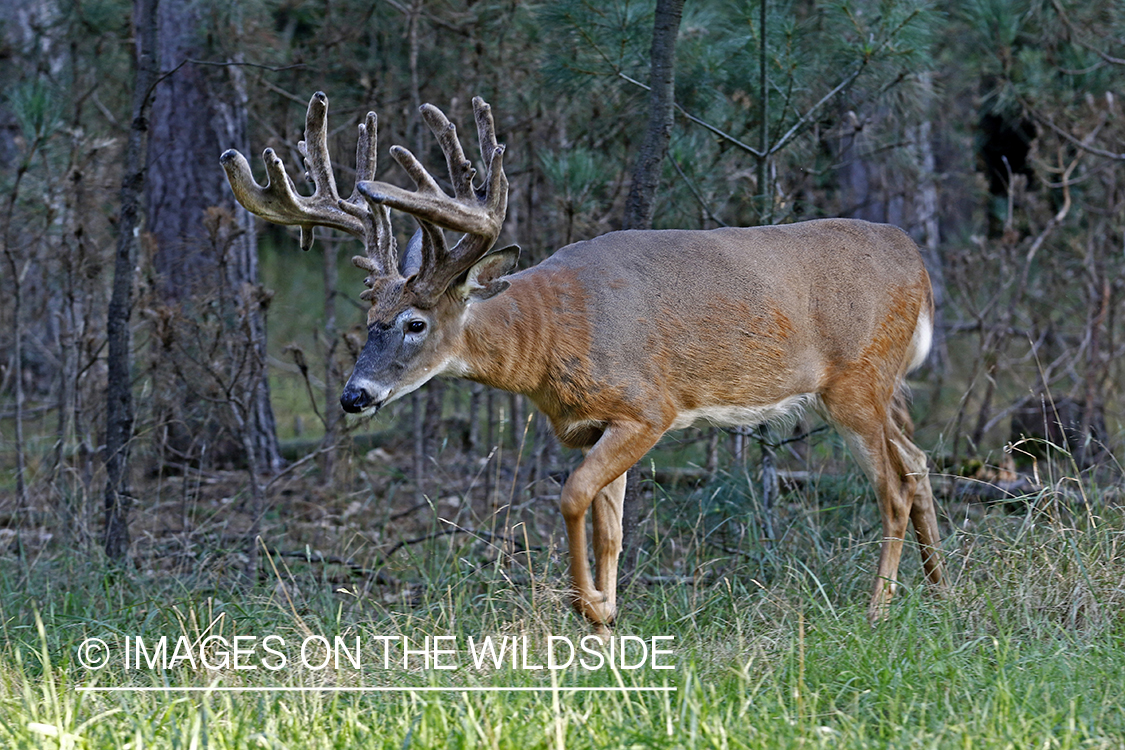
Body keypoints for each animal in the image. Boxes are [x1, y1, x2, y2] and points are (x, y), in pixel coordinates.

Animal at [217, 92, 940, 634]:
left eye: (415, 323)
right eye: (369, 320)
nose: (354, 396)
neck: (551, 334)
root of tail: (918, 263)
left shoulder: (647, 408)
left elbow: (571, 497)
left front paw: (590, 606)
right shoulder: (596, 424)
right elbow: (609, 525)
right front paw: (608, 615)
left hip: (855, 381)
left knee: (893, 485)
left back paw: (877, 611)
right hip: (880, 386)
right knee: (918, 460)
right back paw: (939, 592)